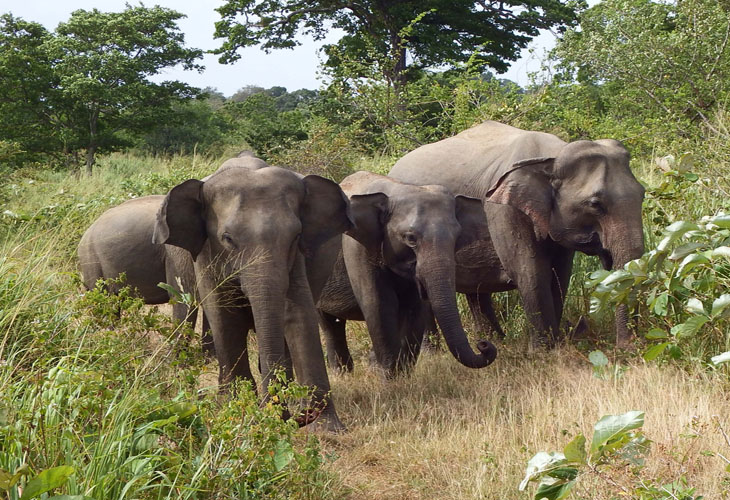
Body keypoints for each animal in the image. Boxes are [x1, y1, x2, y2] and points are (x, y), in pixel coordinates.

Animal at [152, 159, 352, 430]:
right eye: (227, 239)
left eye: (296, 236)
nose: (301, 417)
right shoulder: (207, 252)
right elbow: (224, 315)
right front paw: (236, 410)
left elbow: (298, 312)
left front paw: (326, 428)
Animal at [310, 170, 498, 376]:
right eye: (410, 238)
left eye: (457, 237)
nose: (483, 344)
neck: (396, 189)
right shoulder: (356, 249)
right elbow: (379, 305)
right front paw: (388, 378)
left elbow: (412, 309)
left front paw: (402, 375)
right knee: (328, 323)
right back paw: (342, 373)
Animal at [386, 121, 644, 348]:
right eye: (595, 204)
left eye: (642, 194)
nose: (626, 347)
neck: (550, 157)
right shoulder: (502, 210)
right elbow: (531, 273)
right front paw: (544, 352)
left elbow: (560, 276)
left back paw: (495, 342)